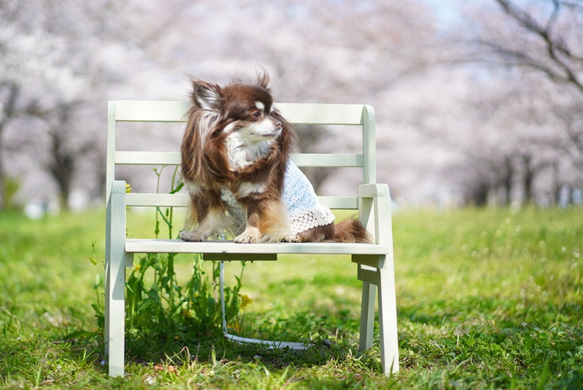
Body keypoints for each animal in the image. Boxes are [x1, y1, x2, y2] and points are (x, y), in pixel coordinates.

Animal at [179, 72, 370, 244]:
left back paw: (291, 236)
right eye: (256, 114)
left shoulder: (259, 193)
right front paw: (197, 233)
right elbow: (207, 217)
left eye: (272, 113)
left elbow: (254, 217)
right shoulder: (208, 191)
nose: (278, 124)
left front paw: (249, 235)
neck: (239, 151)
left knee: (315, 235)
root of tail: (333, 230)